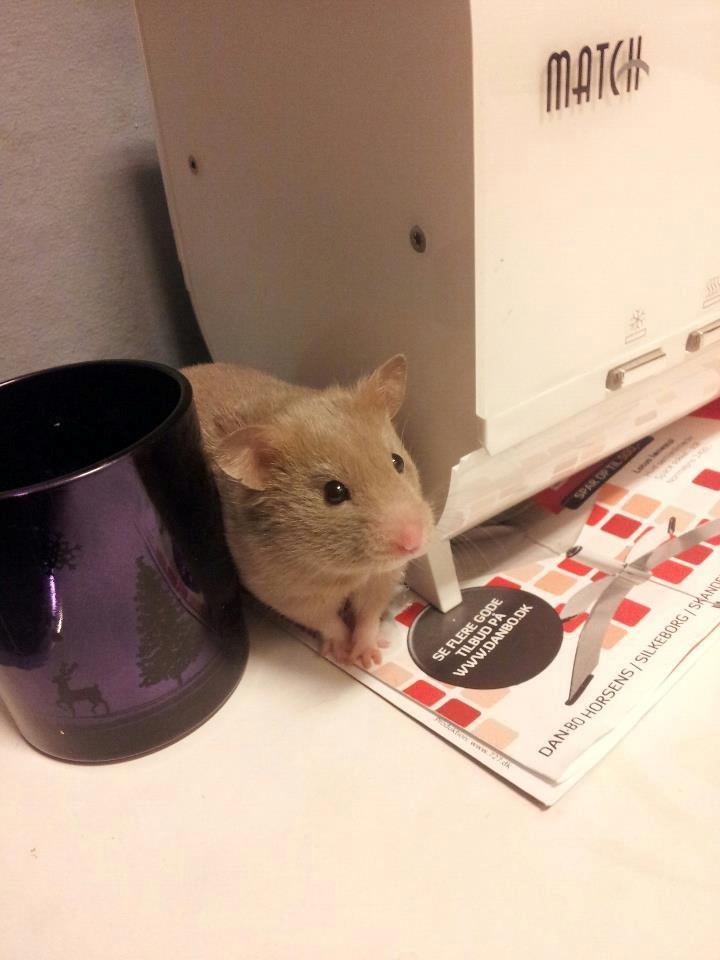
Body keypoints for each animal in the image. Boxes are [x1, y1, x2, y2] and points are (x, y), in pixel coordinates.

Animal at [182, 355, 434, 668]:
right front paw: (344, 656)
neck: (346, 570)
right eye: (334, 492)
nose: (414, 542)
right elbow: (328, 622)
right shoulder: (287, 594)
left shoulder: (383, 577)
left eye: (397, 461)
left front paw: (368, 658)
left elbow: (368, 613)